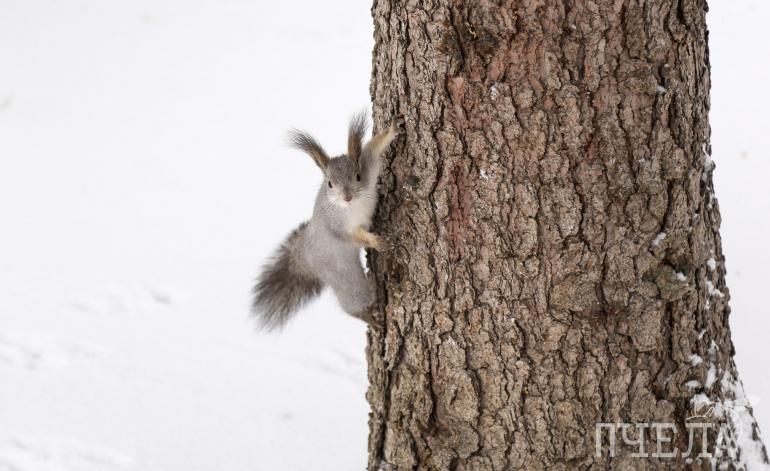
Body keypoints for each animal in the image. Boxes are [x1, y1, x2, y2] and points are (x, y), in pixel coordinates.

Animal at [252, 112, 403, 330]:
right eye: (329, 184)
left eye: (358, 176)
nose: (347, 197)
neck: (353, 206)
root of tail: (305, 257)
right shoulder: (336, 226)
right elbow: (354, 236)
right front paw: (376, 241)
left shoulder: (369, 166)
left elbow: (374, 149)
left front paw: (393, 129)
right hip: (344, 277)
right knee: (351, 303)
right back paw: (370, 319)